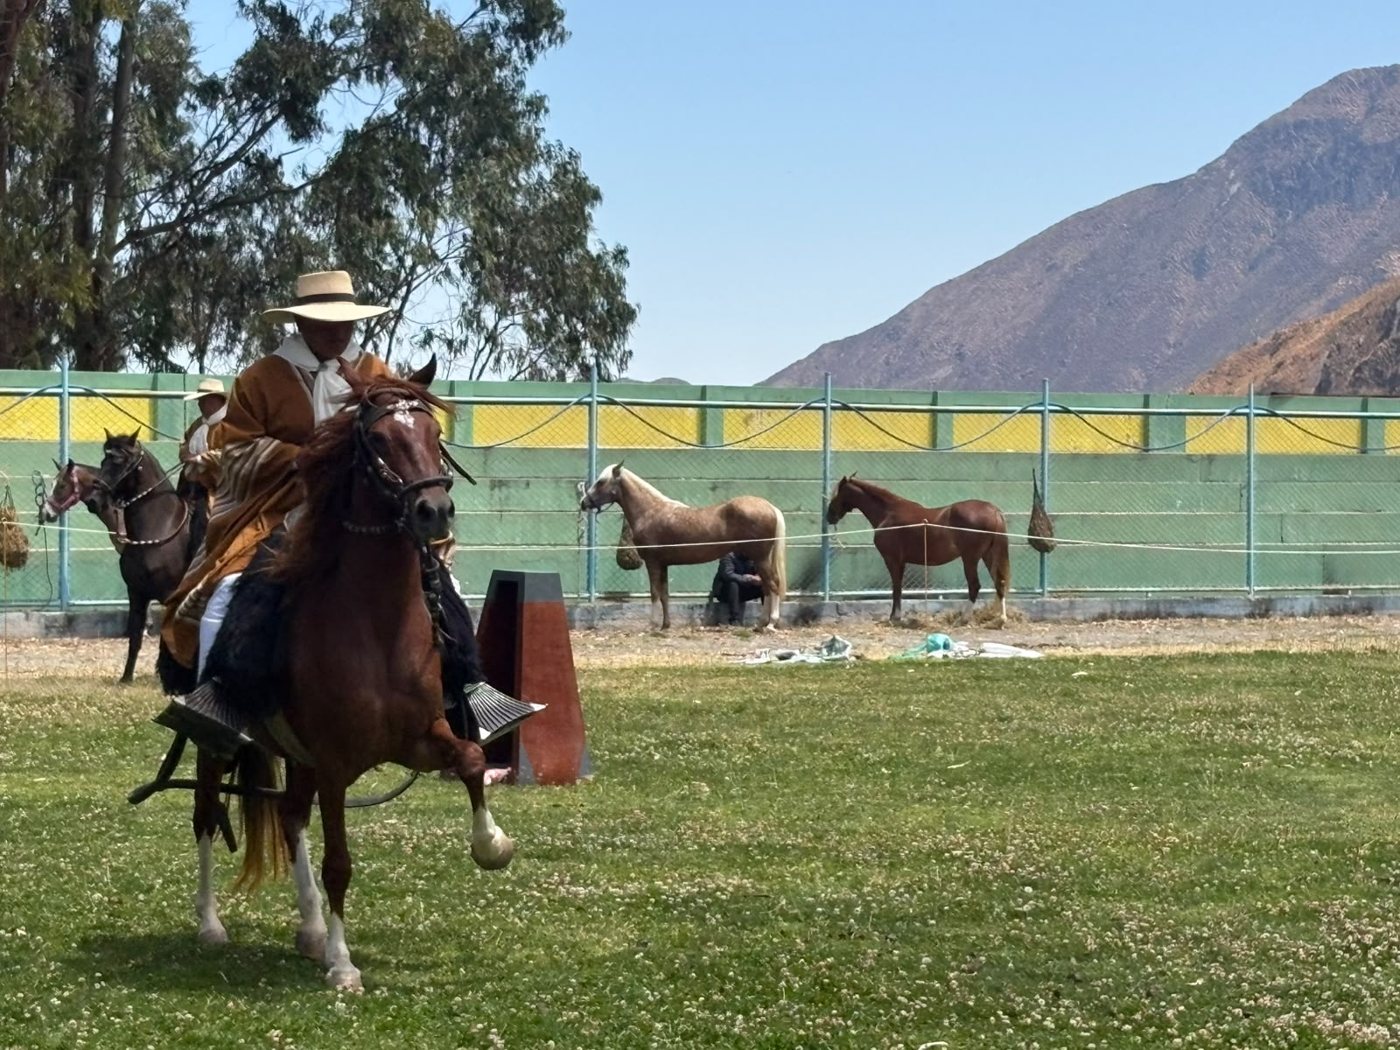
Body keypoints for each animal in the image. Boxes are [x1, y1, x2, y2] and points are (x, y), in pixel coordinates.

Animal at [92, 433, 197, 682]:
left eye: (120, 460)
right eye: (104, 460)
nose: (95, 499)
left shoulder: (170, 594)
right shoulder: (137, 593)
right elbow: (135, 636)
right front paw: (126, 677)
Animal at [186, 362, 515, 992]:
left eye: (434, 434)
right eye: (381, 441)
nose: (434, 511)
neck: (377, 626)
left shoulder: (418, 738)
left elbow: (471, 760)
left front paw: (492, 845)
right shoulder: (337, 763)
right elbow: (339, 862)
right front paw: (343, 964)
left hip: (298, 757)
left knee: (290, 817)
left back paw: (311, 930)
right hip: (219, 744)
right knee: (207, 814)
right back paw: (212, 923)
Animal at [580, 463, 786, 630]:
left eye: (601, 481)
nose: (584, 503)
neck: (651, 512)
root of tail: (770, 507)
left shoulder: (653, 563)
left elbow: (655, 593)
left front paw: (652, 625)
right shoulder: (663, 565)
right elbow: (664, 594)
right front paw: (665, 625)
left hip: (760, 558)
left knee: (773, 585)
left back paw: (770, 624)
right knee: (767, 587)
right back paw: (761, 624)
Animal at [825, 474, 1010, 625]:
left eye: (837, 493)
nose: (829, 516)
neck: (888, 513)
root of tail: (993, 510)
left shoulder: (892, 560)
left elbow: (896, 587)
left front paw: (895, 617)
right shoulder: (900, 562)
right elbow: (898, 587)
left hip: (970, 558)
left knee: (974, 585)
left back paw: (963, 619)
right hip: (988, 556)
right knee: (999, 581)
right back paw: (1001, 618)